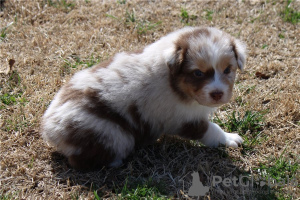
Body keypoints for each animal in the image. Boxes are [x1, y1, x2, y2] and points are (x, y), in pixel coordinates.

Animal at [40, 26, 246, 170]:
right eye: (198, 73)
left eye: (227, 70)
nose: (217, 94)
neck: (173, 81)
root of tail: (49, 127)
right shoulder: (182, 118)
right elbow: (210, 130)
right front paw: (229, 138)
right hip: (109, 133)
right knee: (79, 161)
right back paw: (115, 162)